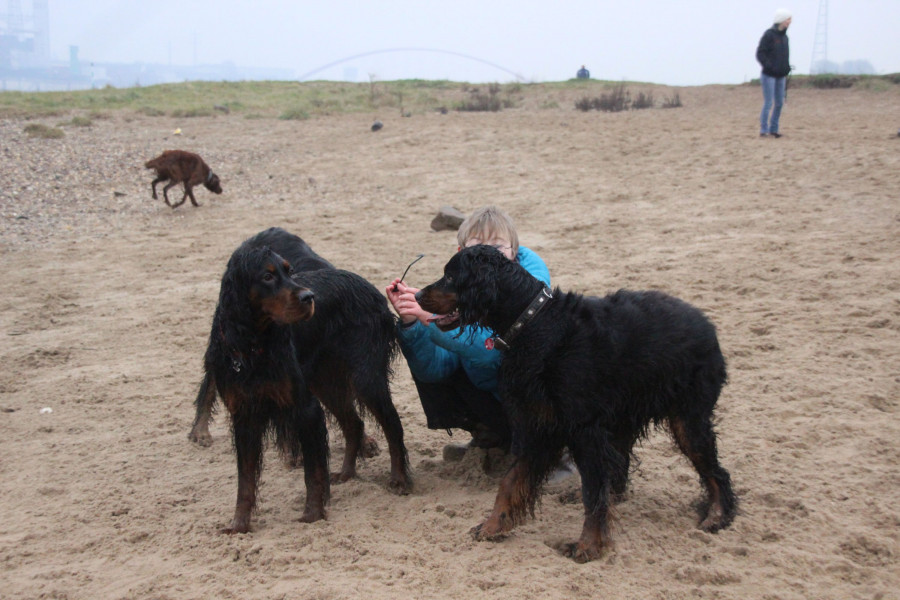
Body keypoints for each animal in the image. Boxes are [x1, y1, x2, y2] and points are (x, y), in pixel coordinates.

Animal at [191, 228, 412, 510]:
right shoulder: (244, 411)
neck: (252, 344)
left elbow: (313, 469)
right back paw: (346, 473)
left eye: (289, 271)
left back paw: (399, 479)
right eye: (267, 276)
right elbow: (246, 481)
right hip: (325, 382)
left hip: (365, 377)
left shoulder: (304, 405)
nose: (309, 297)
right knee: (353, 424)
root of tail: (373, 291)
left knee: (392, 425)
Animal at [416, 245, 737, 562]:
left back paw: (719, 515)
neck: (533, 323)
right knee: (619, 466)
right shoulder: (537, 424)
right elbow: (510, 481)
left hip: (688, 418)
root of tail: (707, 325)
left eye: (450, 276)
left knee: (716, 471)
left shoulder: (584, 429)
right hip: (623, 417)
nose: (417, 296)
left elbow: (592, 492)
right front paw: (494, 525)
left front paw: (589, 545)